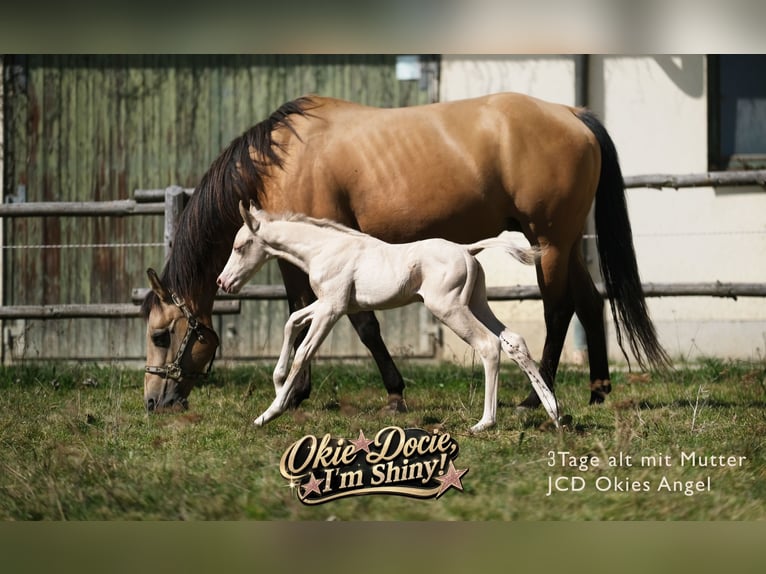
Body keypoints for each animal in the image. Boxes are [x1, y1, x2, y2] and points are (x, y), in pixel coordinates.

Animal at [216, 202, 559, 431]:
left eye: (241, 246)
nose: (223, 282)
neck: (324, 249)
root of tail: (467, 249)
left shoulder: (332, 309)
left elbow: (304, 352)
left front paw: (269, 412)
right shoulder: (332, 304)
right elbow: (292, 322)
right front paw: (278, 385)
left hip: (449, 308)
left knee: (489, 345)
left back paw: (485, 422)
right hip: (476, 303)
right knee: (513, 341)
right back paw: (554, 412)